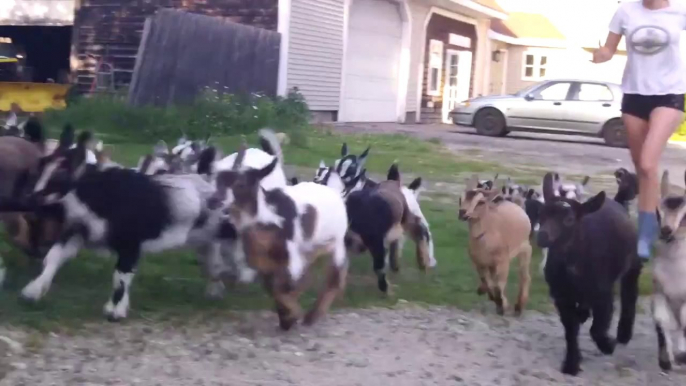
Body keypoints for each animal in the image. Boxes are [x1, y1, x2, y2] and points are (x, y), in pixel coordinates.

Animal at [19, 125, 236, 322]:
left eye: (61, 175)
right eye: (41, 164)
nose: (28, 199)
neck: (95, 192)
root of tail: (205, 178)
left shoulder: (130, 242)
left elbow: (121, 276)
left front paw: (114, 313)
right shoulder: (78, 229)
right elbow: (53, 257)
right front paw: (32, 292)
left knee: (216, 262)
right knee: (210, 263)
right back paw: (215, 292)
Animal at [208, 129, 350, 328]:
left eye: (241, 183)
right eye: (218, 179)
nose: (214, 201)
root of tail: (333, 190)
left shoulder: (290, 256)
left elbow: (283, 287)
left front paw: (293, 315)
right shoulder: (267, 262)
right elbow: (273, 287)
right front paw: (286, 318)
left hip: (335, 242)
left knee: (336, 277)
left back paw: (312, 316)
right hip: (310, 247)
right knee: (309, 276)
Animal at [460, 173, 536, 316]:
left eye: (481, 202)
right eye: (460, 199)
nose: (462, 213)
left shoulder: (503, 261)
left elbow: (498, 285)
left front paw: (502, 305)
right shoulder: (480, 263)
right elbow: (487, 281)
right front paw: (485, 292)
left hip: (525, 249)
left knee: (525, 276)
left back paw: (519, 306)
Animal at [536, 171, 644, 374]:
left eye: (569, 220)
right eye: (542, 214)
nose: (542, 236)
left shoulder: (603, 293)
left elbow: (598, 328)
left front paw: (608, 345)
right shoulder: (561, 295)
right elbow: (571, 329)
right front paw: (571, 364)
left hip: (633, 265)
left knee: (629, 293)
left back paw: (623, 334)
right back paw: (584, 314)